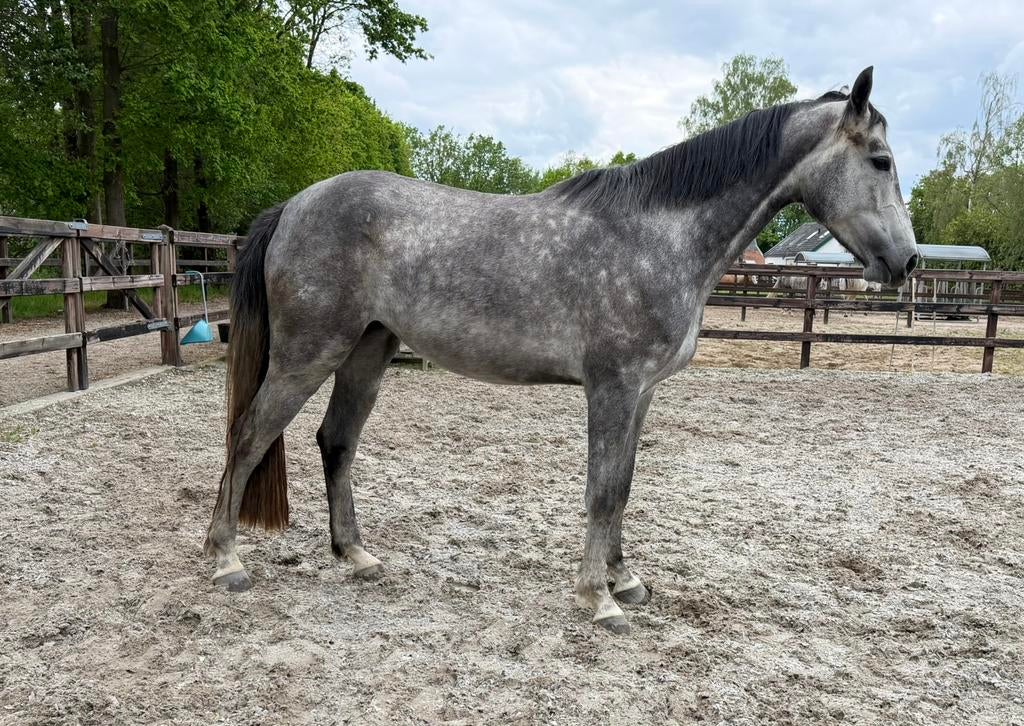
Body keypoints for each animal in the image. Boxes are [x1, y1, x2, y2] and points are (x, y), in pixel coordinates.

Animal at [204, 66, 918, 635]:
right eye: (880, 160)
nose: (907, 261)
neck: (659, 236)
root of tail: (293, 206)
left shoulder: (641, 393)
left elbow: (623, 485)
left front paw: (625, 579)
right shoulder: (614, 387)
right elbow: (601, 490)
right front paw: (598, 599)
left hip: (366, 352)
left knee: (336, 441)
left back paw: (356, 556)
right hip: (309, 353)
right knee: (250, 435)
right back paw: (225, 560)